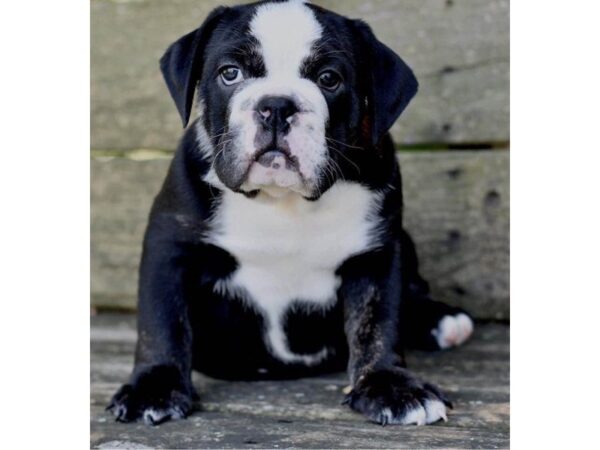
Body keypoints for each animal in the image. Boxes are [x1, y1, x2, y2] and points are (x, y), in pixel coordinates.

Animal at [108, 0, 474, 428]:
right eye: (230, 73)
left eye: (329, 79)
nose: (277, 106)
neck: (282, 200)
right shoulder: (170, 245)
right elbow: (162, 320)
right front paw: (155, 387)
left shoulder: (378, 253)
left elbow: (379, 321)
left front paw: (389, 385)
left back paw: (439, 321)